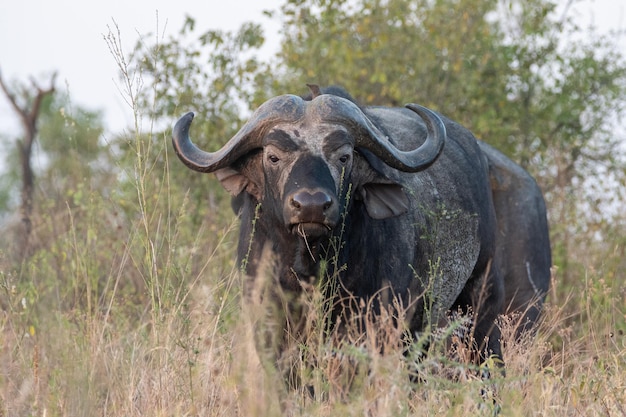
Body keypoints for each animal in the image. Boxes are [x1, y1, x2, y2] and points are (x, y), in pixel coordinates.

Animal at [173, 86, 548, 372]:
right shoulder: (270, 321)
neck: (311, 268)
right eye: (273, 156)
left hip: (482, 303)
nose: (311, 205)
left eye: (344, 156)